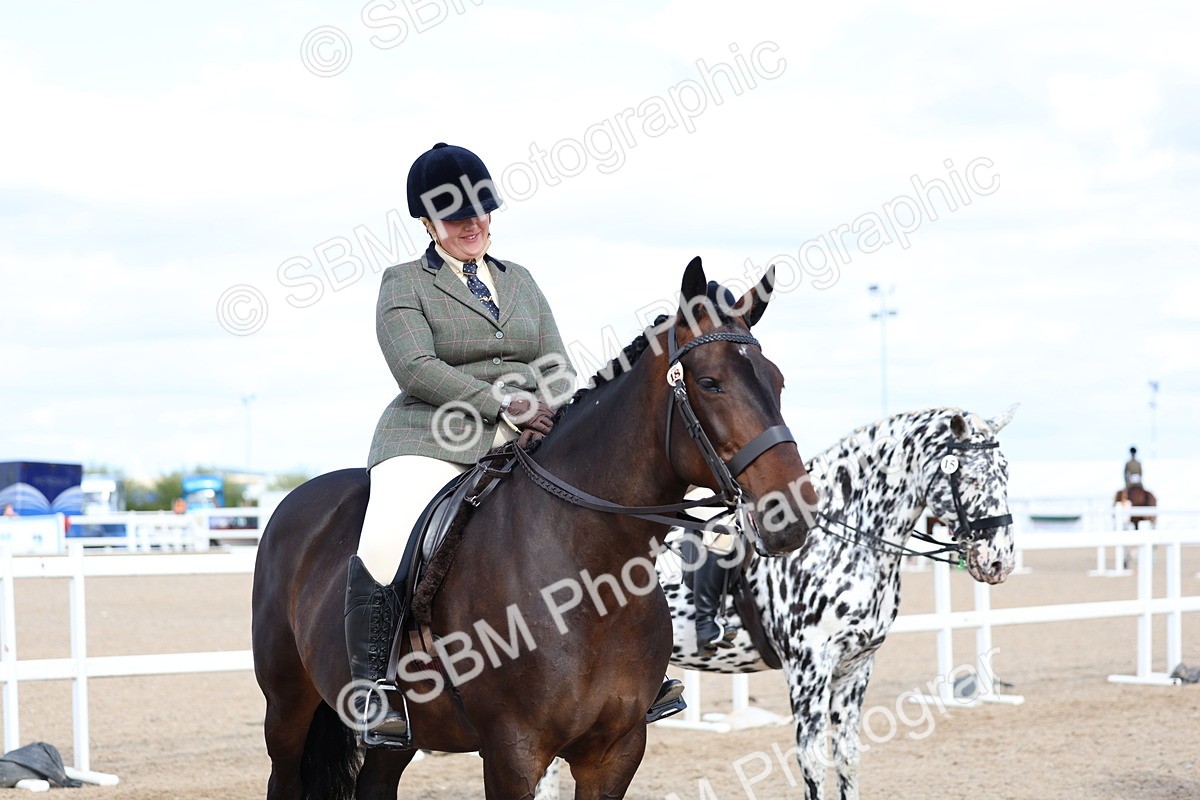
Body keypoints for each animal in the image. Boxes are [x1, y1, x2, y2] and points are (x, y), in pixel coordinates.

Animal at [251, 257, 820, 800]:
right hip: (286, 706)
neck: (590, 575)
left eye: (778, 381)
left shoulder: (615, 752)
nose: (791, 512)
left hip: (405, 734)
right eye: (709, 383)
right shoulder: (513, 754)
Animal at [660, 406, 1018, 800]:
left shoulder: (855, 667)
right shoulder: (808, 669)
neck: (841, 543)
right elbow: (812, 762)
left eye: (1005, 471)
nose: (1000, 561)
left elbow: (847, 756)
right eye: (970, 477)